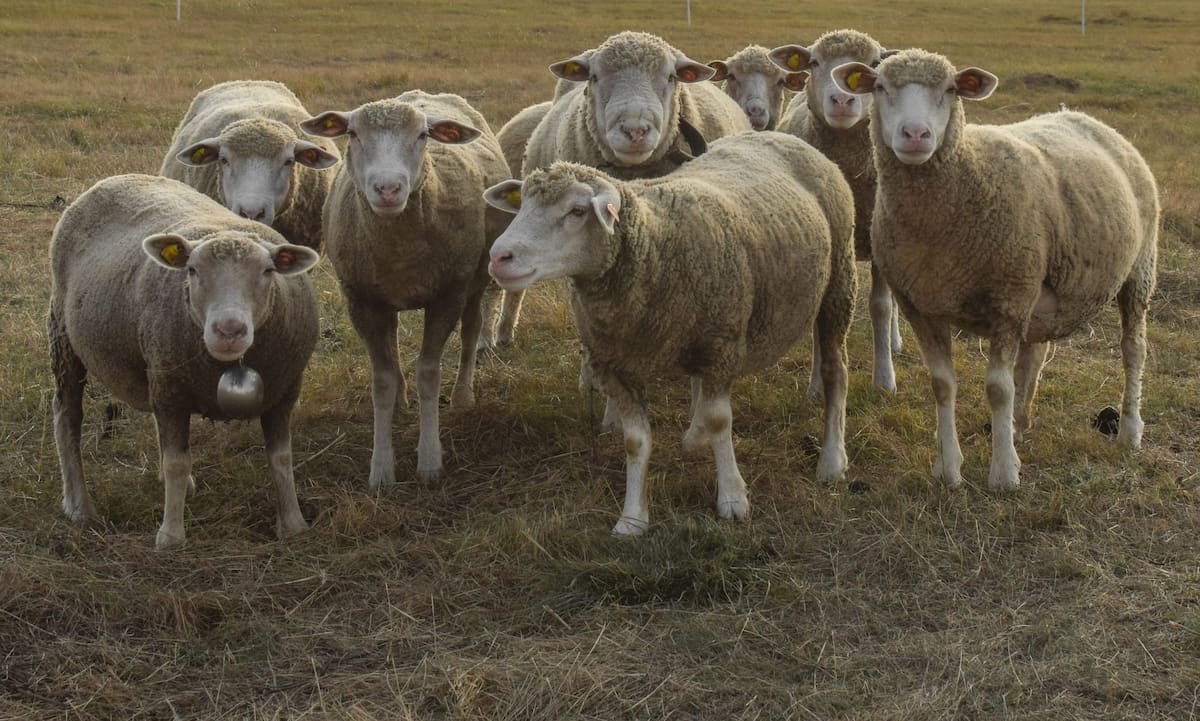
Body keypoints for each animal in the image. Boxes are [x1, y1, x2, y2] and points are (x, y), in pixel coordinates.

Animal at [49, 173, 321, 549]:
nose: (228, 330)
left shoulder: (283, 390)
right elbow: (177, 462)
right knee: (68, 418)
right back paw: (78, 504)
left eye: (268, 271)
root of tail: (117, 177)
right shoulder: (172, 391)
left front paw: (293, 524)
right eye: (192, 270)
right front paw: (171, 536)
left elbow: (281, 458)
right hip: (65, 337)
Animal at [299, 90, 511, 486]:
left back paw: (463, 395)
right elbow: (380, 381)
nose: (387, 189)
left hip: (473, 278)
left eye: (423, 136)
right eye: (352, 134)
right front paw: (381, 469)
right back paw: (401, 398)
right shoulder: (360, 300)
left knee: (472, 329)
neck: (399, 254)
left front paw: (430, 461)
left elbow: (428, 373)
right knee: (394, 338)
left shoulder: (447, 295)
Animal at [484, 130, 856, 535]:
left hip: (838, 281)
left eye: (577, 211)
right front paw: (632, 518)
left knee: (836, 371)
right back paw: (695, 436)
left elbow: (720, 420)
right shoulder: (615, 365)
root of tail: (777, 134)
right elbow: (635, 442)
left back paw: (832, 461)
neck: (654, 241)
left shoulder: (721, 347)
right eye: (521, 205)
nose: (498, 257)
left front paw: (732, 498)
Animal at [769, 30, 901, 393]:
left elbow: (881, 307)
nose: (842, 100)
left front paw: (884, 378)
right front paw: (816, 384)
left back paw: (895, 341)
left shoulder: (878, 237)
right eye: (814, 63)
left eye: (873, 63)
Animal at [830, 49, 1158, 490]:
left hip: (1138, 270)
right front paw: (948, 468)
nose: (915, 135)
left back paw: (1129, 430)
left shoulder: (1008, 301)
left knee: (1132, 349)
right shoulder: (922, 306)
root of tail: (1086, 118)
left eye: (951, 89)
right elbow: (942, 385)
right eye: (880, 87)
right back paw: (1019, 425)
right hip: (1038, 290)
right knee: (1035, 354)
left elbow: (998, 389)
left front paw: (1003, 473)